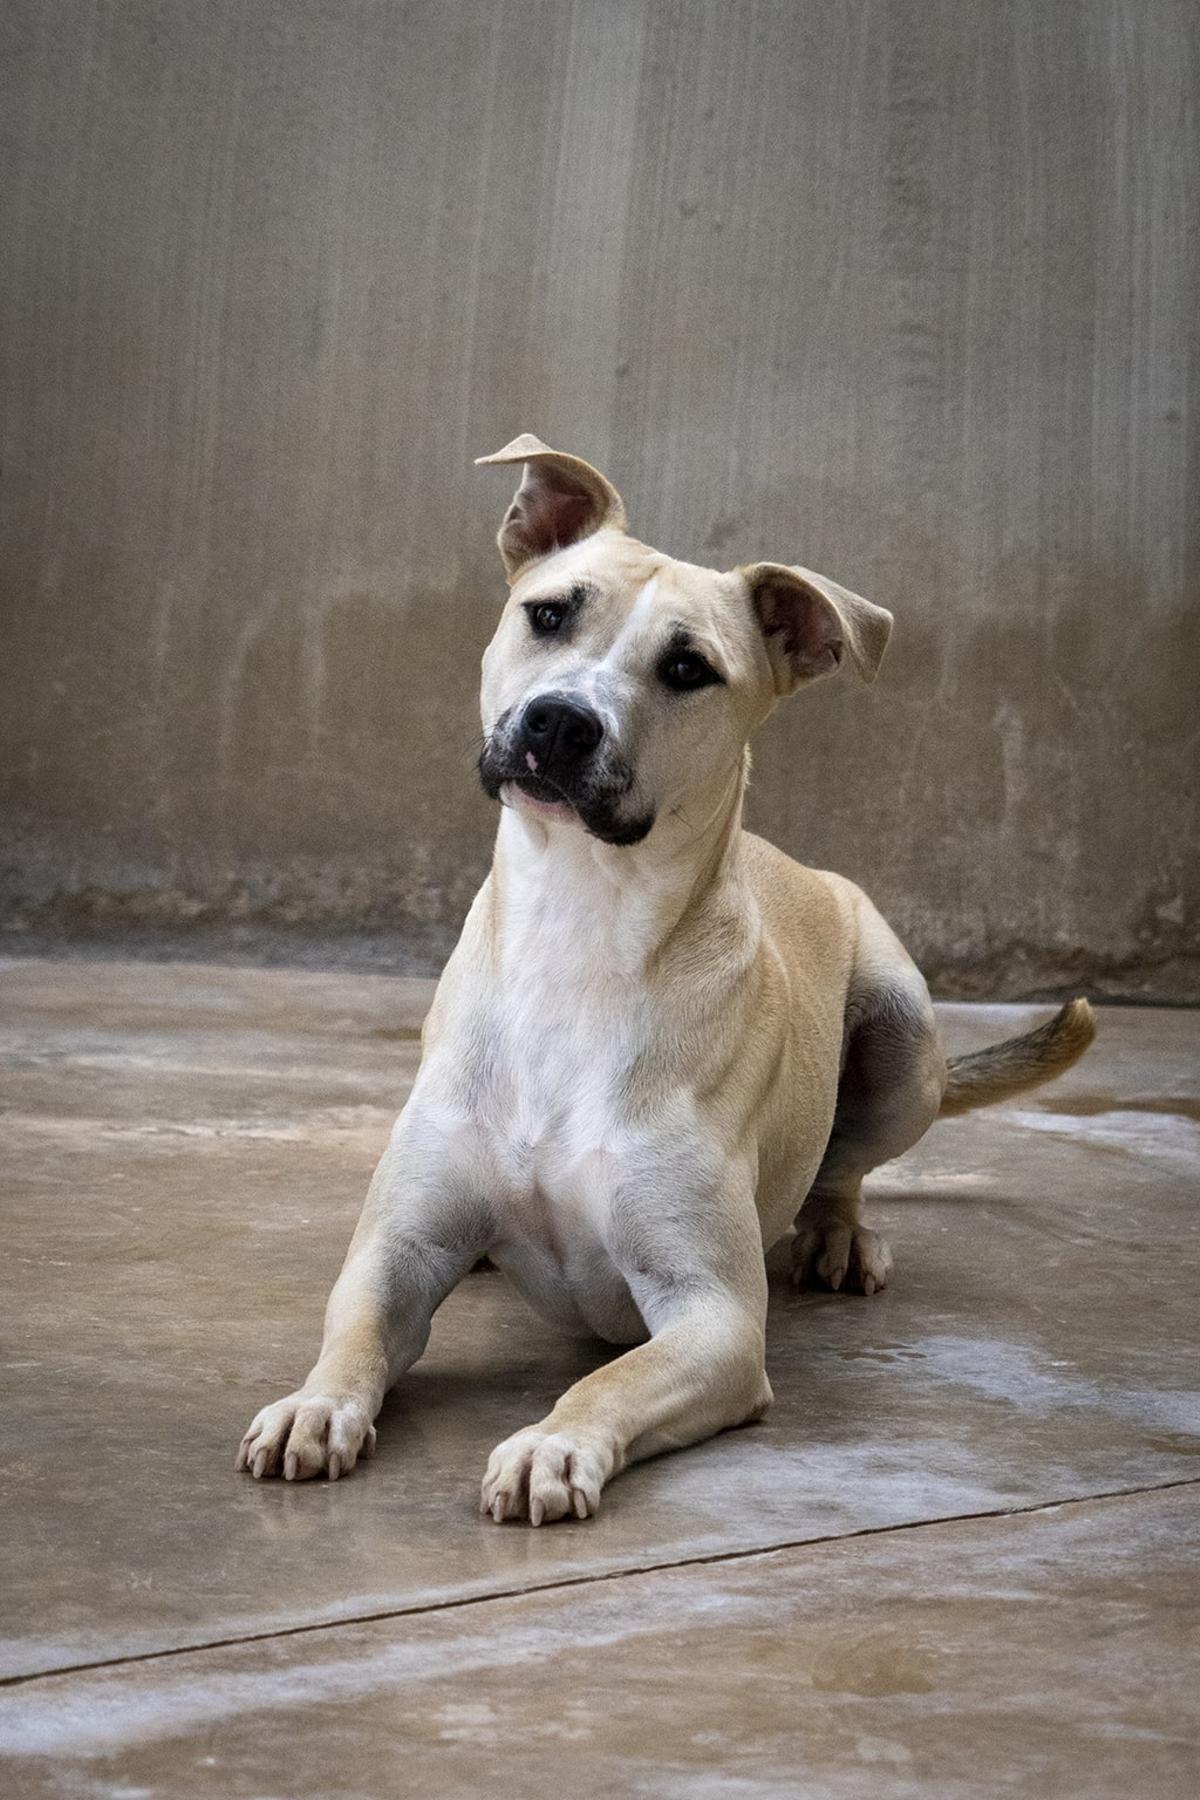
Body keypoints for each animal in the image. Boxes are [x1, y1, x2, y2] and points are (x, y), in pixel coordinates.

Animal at [233, 432, 1101, 1519]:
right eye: (549, 612)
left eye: (689, 668)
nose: (561, 723)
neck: (578, 928)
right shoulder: (397, 1251)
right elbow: (353, 1331)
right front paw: (315, 1404)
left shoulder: (713, 1318)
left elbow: (610, 1378)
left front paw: (553, 1443)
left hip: (904, 1036)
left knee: (845, 1163)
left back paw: (838, 1235)